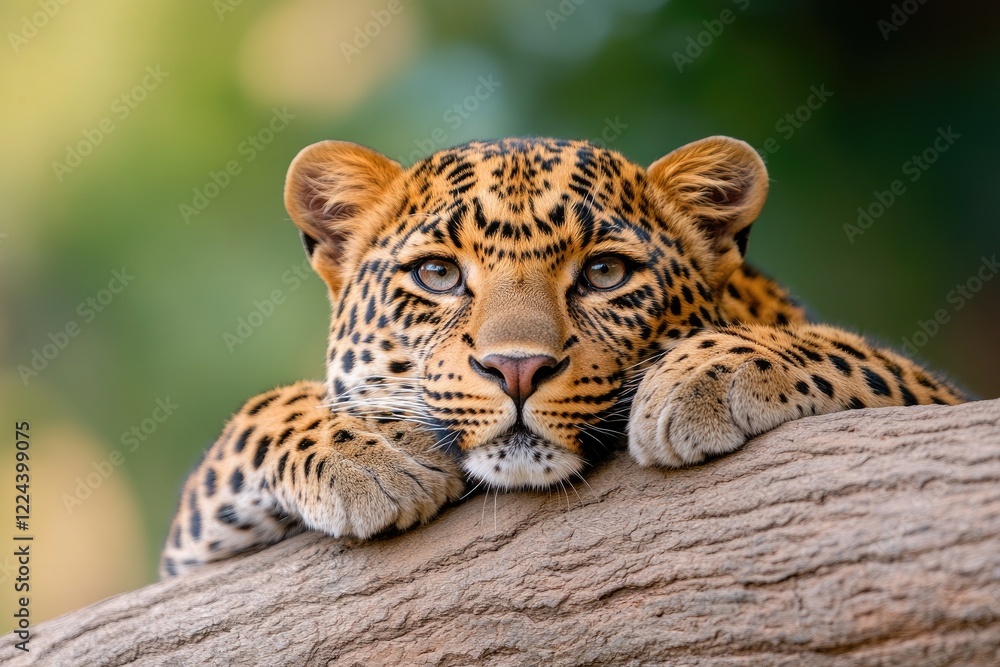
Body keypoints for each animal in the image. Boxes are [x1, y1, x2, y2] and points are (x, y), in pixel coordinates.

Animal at [160, 135, 966, 577]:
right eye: (438, 274)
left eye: (605, 273)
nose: (517, 368)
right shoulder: (186, 562)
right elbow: (258, 414)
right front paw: (370, 450)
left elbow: (844, 349)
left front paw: (700, 373)